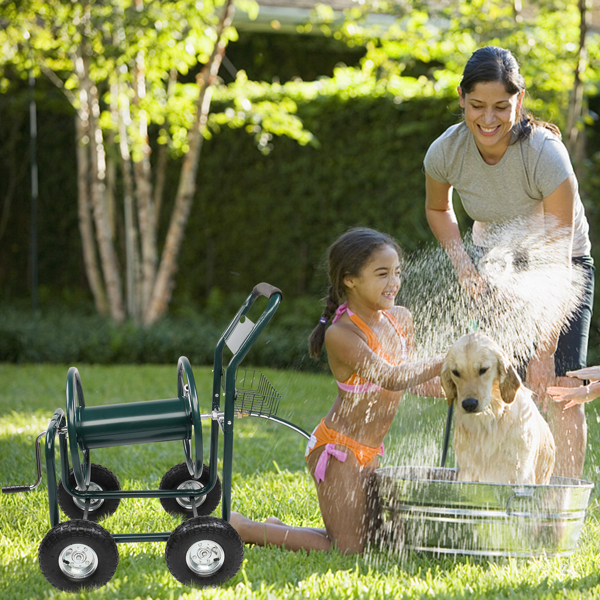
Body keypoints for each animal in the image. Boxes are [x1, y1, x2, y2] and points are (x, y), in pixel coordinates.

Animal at [440, 330, 552, 486]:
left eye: (483, 370)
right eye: (455, 372)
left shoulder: (521, 473)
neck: (489, 418)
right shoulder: (468, 471)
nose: (469, 404)